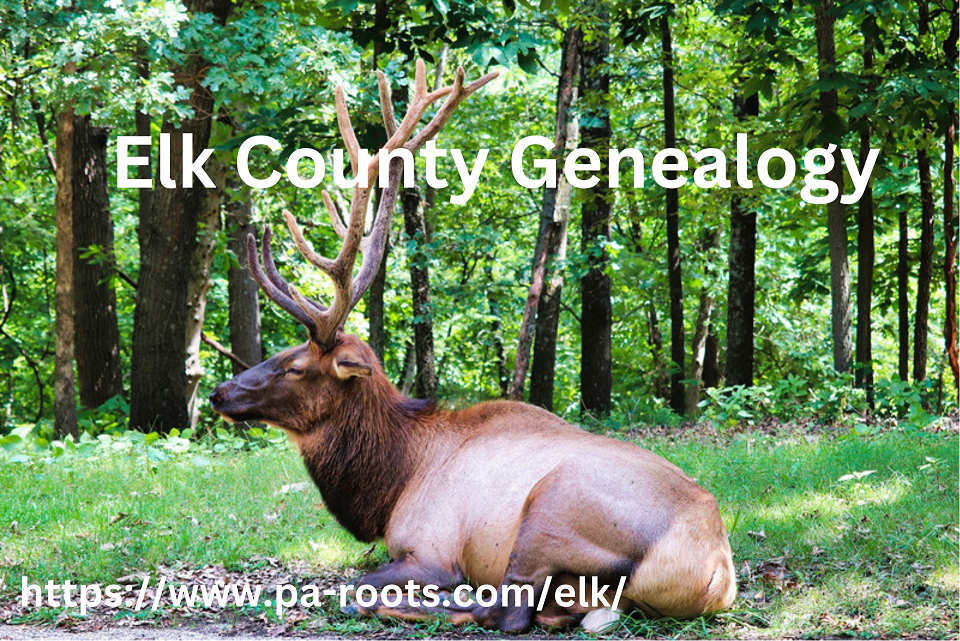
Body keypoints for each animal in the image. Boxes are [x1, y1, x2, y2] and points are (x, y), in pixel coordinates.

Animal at [209, 61, 736, 633]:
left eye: (297, 365)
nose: (219, 392)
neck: (391, 483)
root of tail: (714, 576)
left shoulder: (429, 546)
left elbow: (361, 579)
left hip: (551, 506)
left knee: (505, 610)